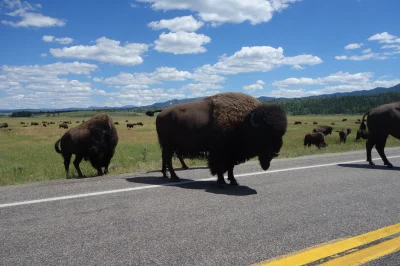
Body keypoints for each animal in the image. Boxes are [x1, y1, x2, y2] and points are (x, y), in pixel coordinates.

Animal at [147, 92, 288, 186]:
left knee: (166, 158)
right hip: (168, 145)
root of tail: (161, 113)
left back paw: (166, 175)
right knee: (168, 159)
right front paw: (221, 182)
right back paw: (174, 177)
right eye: (265, 132)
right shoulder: (220, 152)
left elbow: (230, 167)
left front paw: (233, 181)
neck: (244, 121)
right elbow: (220, 167)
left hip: (169, 146)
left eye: (282, 133)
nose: (275, 152)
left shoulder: (232, 153)